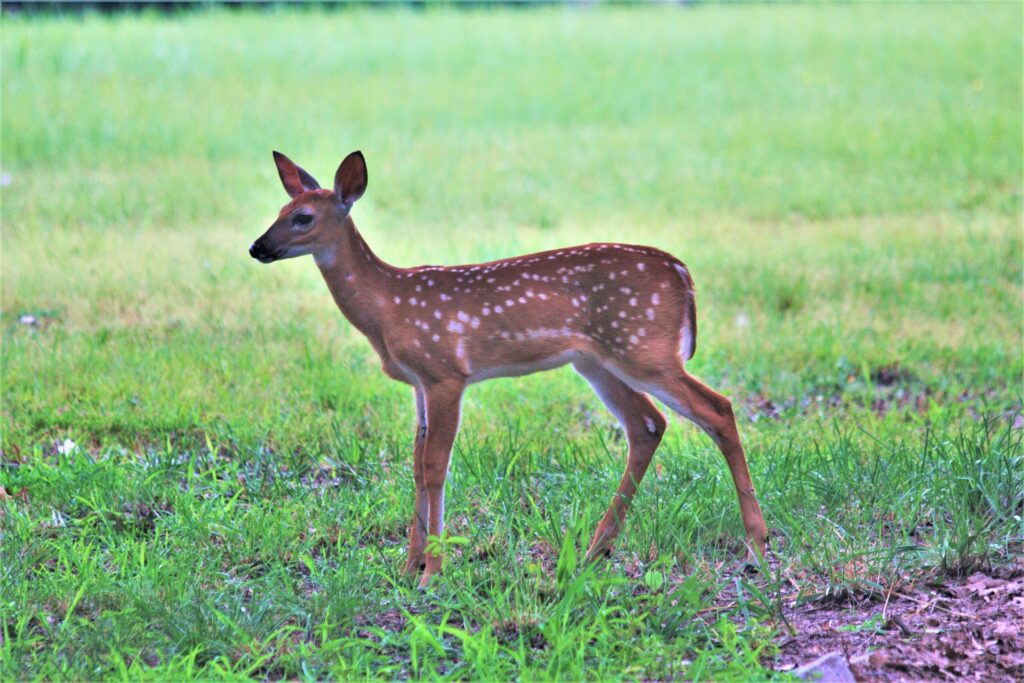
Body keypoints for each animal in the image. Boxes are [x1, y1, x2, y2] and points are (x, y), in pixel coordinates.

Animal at [249, 150, 769, 588]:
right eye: (278, 209)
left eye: (302, 217)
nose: (257, 247)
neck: (389, 307)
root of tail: (685, 275)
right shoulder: (418, 383)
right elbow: (416, 464)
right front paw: (408, 565)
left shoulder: (445, 372)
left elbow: (435, 465)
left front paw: (432, 571)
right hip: (597, 361)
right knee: (647, 424)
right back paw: (594, 551)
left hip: (644, 349)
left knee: (717, 409)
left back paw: (756, 547)